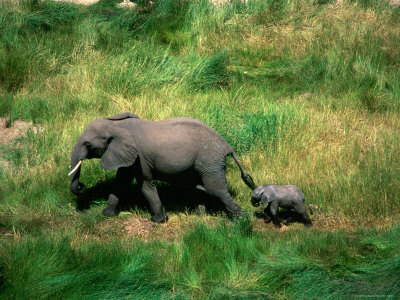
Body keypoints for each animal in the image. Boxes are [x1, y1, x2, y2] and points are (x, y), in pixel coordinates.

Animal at [69, 112, 255, 223]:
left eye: (88, 144)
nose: (81, 186)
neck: (115, 125)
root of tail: (228, 147)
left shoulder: (140, 158)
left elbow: (145, 185)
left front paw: (157, 220)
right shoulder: (126, 156)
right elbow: (121, 182)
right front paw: (107, 214)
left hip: (210, 161)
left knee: (216, 190)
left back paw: (241, 218)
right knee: (202, 188)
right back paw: (199, 214)